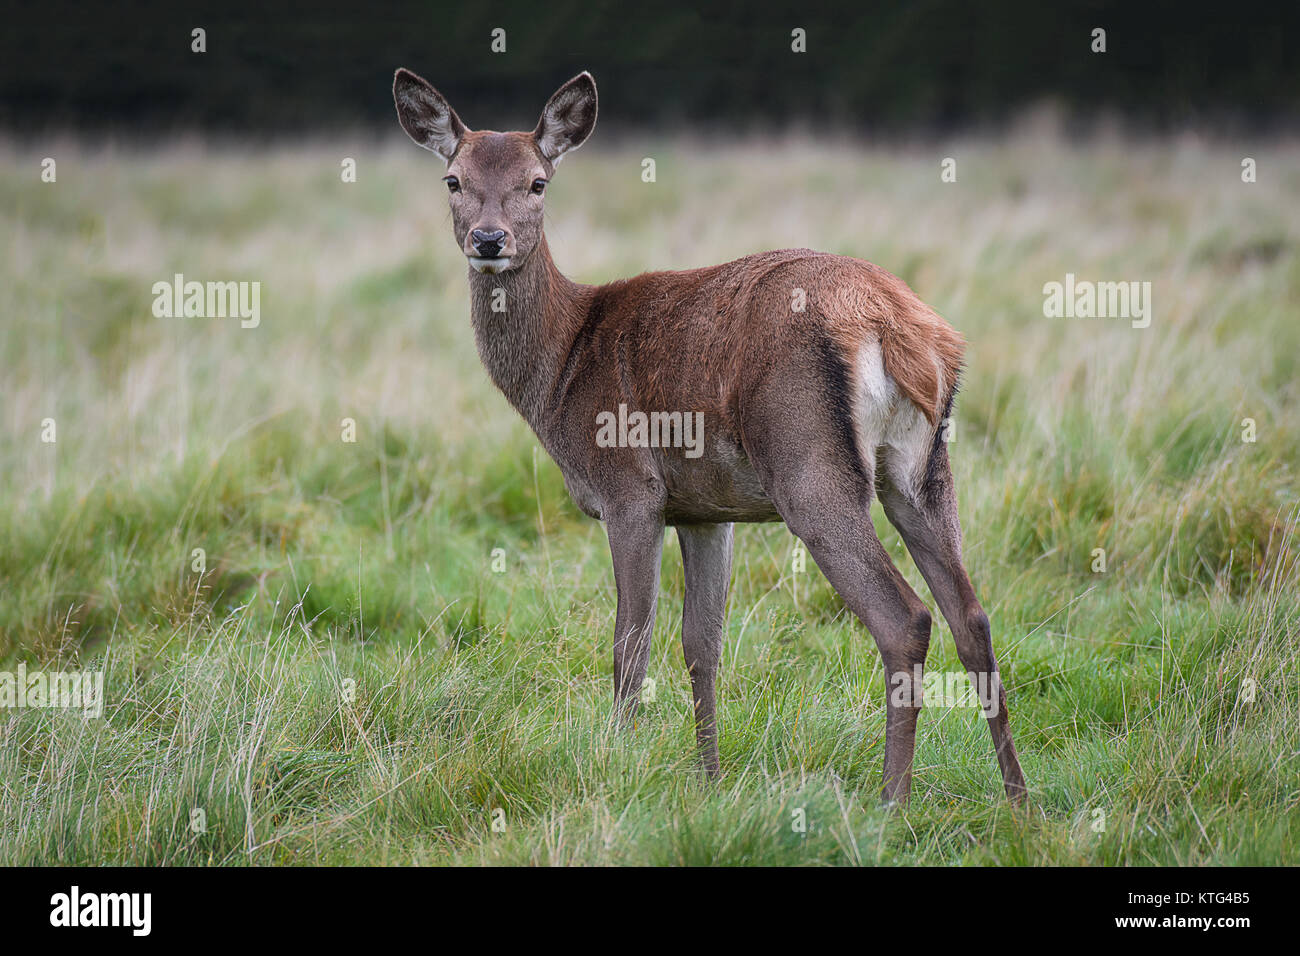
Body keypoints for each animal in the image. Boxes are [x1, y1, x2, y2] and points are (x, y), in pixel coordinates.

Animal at [392, 67, 1024, 806]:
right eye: (454, 180)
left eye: (538, 181)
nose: (489, 240)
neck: (563, 367)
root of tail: (897, 325)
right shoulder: (704, 509)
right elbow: (702, 644)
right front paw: (710, 779)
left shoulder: (630, 489)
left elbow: (630, 641)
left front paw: (617, 763)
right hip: (922, 468)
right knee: (971, 615)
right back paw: (1019, 799)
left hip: (810, 465)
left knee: (906, 618)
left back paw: (892, 801)